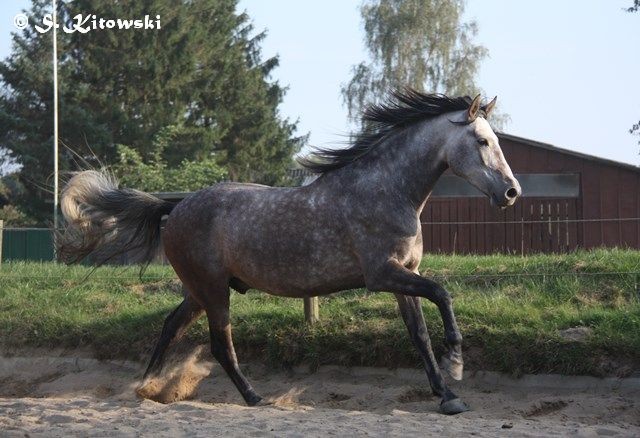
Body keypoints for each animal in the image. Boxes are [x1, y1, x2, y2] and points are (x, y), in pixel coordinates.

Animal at [58, 90, 520, 414]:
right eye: (482, 141)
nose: (511, 192)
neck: (386, 190)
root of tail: (175, 207)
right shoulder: (383, 274)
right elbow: (443, 294)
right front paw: (456, 363)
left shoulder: (405, 275)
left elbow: (419, 335)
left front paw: (448, 395)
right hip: (213, 292)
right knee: (220, 345)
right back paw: (253, 397)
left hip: (200, 290)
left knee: (171, 326)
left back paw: (146, 388)